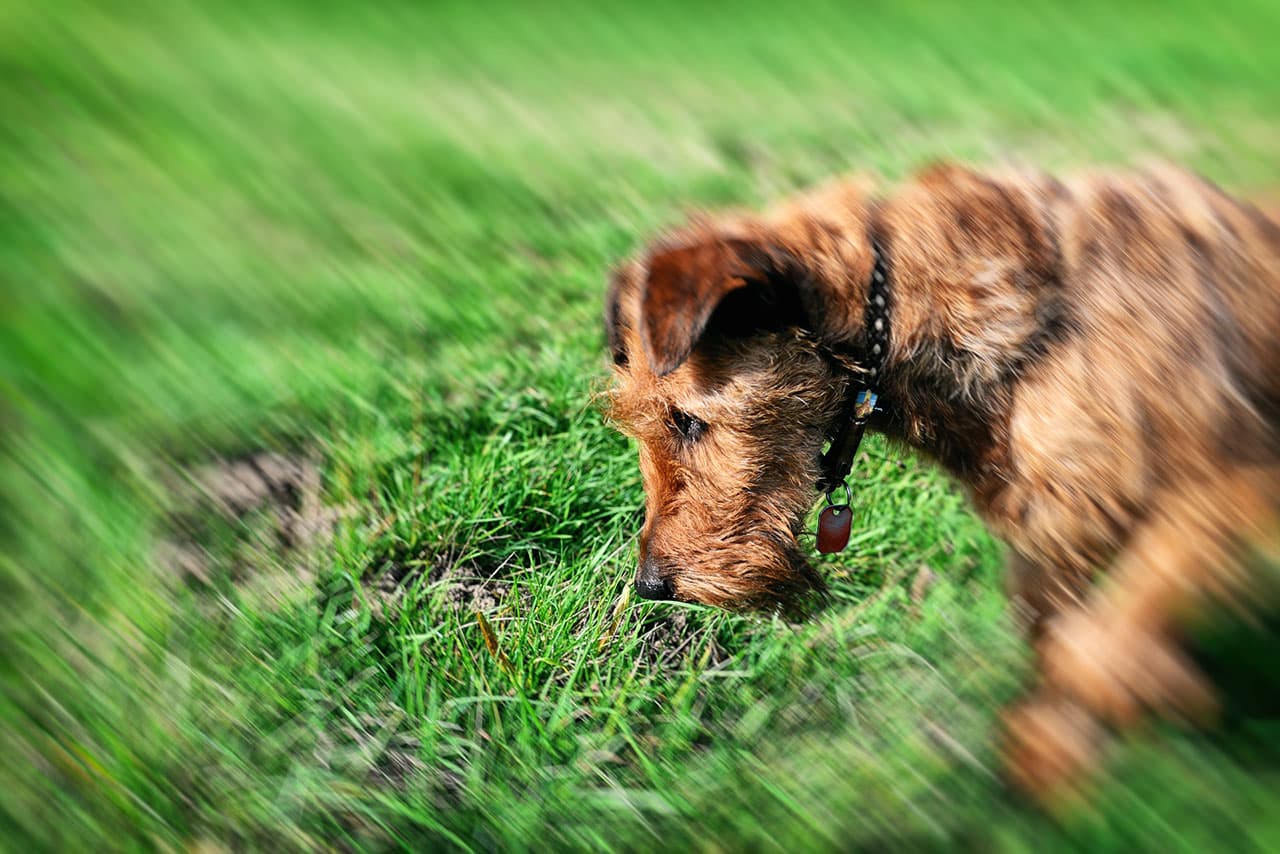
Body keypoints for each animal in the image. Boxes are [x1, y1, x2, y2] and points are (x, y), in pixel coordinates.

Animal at [604, 165, 1280, 804]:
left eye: (686, 419)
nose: (650, 586)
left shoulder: (1233, 486)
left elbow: (1094, 646)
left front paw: (1158, 694)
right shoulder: (1052, 537)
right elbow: (1061, 639)